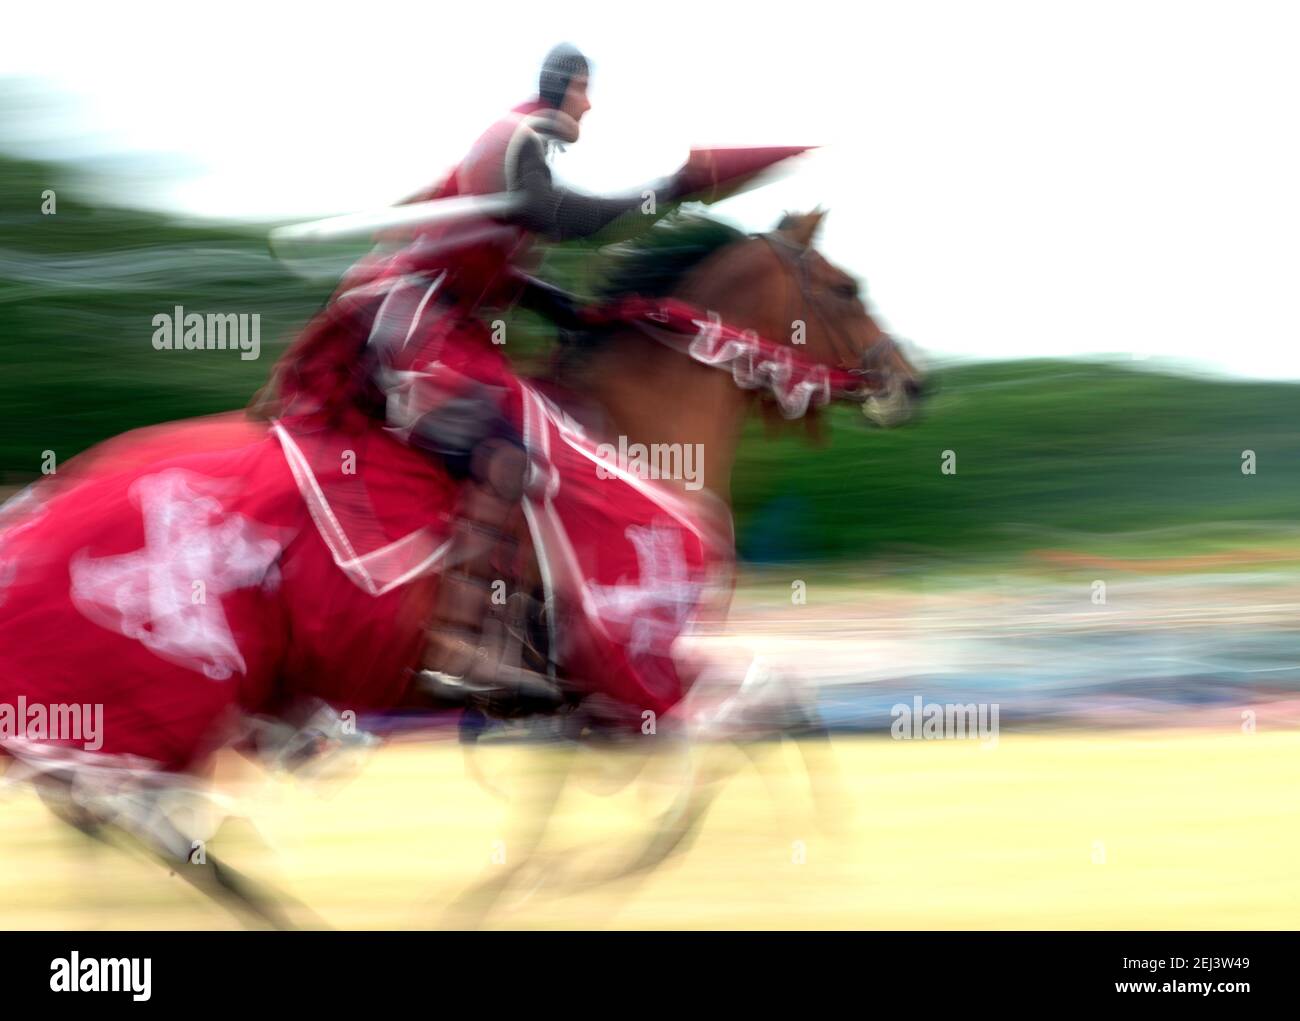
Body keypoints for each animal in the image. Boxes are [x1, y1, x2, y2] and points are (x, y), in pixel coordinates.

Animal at [0, 206, 920, 926]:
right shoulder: (637, 659)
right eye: (845, 287)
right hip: (174, 685)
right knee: (136, 818)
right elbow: (771, 718)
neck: (642, 431)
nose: (913, 384)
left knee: (110, 817)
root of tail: (40, 503)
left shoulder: (583, 694)